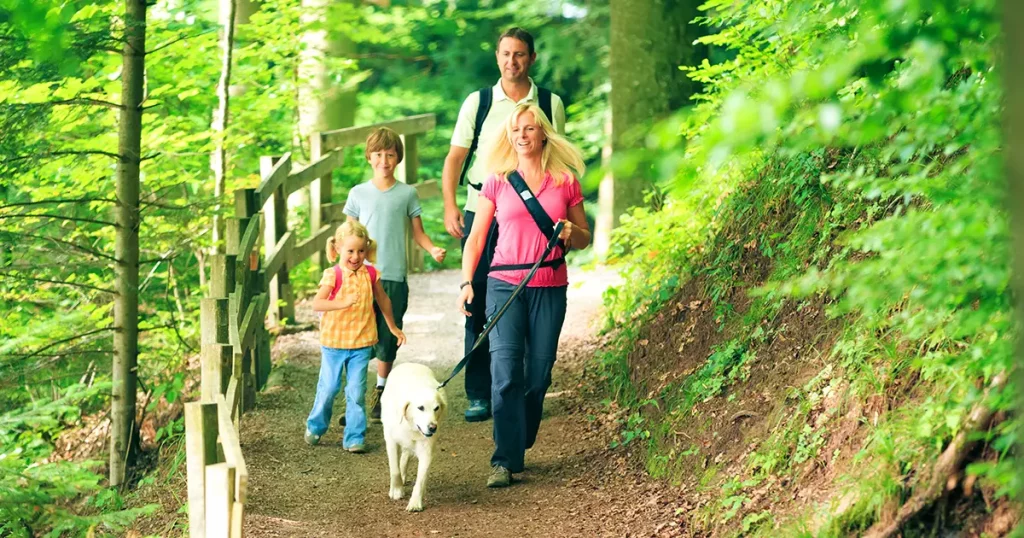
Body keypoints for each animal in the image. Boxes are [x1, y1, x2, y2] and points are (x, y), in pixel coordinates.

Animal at [380, 362, 448, 510]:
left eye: (436, 408)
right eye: (420, 408)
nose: (433, 427)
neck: (410, 426)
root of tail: (411, 363)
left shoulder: (427, 449)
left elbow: (420, 479)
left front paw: (415, 503)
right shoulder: (390, 440)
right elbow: (394, 469)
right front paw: (397, 490)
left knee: (405, 455)